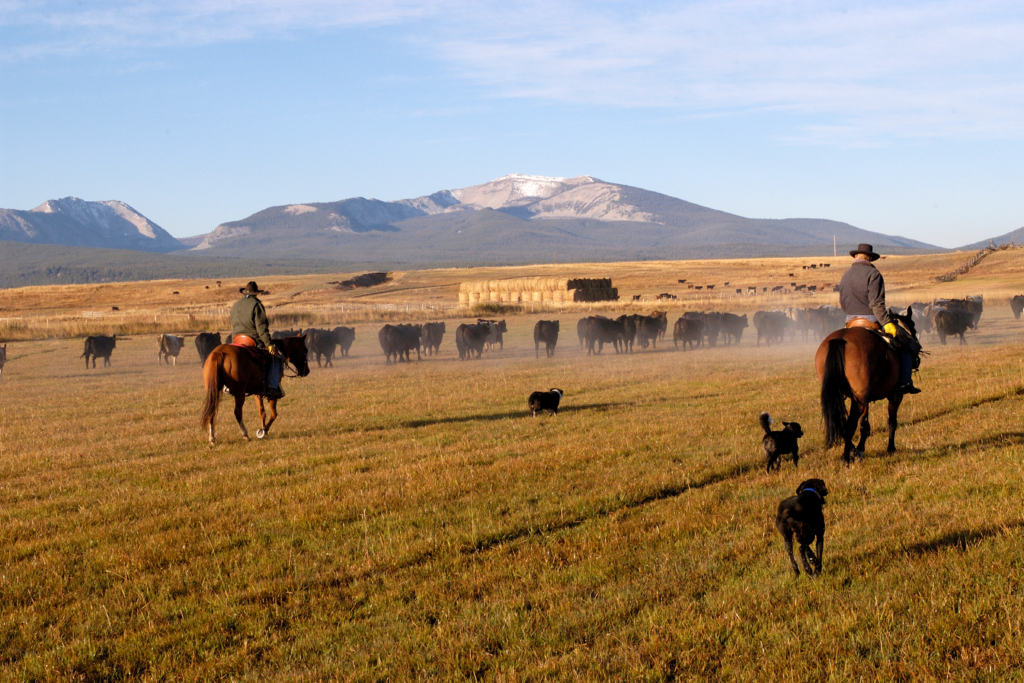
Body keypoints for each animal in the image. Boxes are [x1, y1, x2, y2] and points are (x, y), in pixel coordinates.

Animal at [815, 309, 921, 464]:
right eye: (913, 326)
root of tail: (840, 339)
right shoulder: (895, 395)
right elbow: (892, 422)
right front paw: (891, 448)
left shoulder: (865, 399)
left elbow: (864, 426)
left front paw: (860, 450)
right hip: (859, 400)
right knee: (850, 425)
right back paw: (845, 457)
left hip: (842, 396)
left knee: (842, 424)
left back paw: (852, 451)